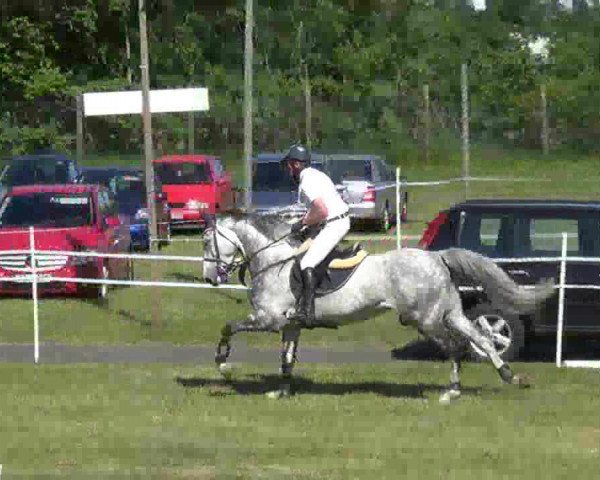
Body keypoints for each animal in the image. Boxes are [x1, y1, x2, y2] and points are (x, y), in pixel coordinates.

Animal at [204, 214, 556, 402]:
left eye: (208, 242)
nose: (209, 278)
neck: (273, 260)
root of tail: (435, 256)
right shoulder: (291, 325)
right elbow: (287, 360)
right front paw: (282, 392)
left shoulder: (269, 320)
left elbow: (228, 327)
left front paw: (223, 364)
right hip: (449, 312)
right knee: (479, 338)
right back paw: (506, 376)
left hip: (425, 318)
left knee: (455, 346)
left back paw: (452, 391)